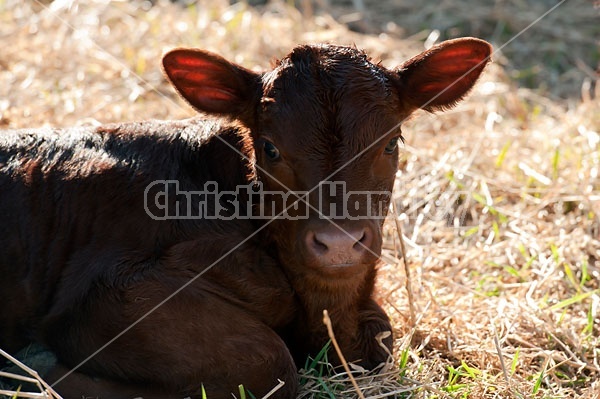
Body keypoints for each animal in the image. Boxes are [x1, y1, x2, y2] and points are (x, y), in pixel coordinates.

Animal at [0, 38, 490, 399]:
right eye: (270, 148)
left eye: (391, 143)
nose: (338, 243)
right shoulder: (108, 292)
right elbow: (271, 363)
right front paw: (38, 369)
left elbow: (381, 335)